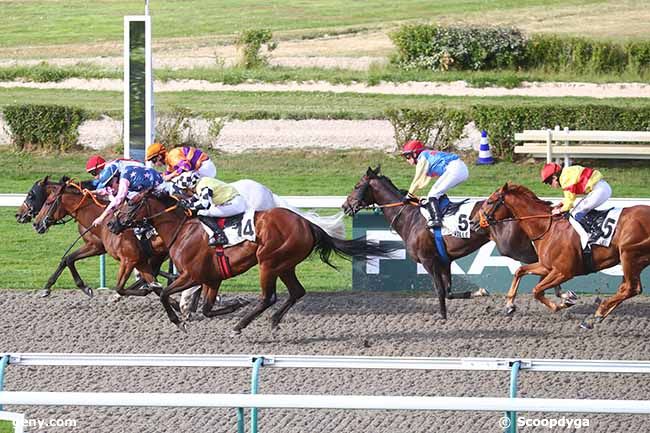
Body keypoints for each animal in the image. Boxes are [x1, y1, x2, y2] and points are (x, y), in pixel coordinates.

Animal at [32, 178, 167, 296]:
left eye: (47, 203)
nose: (36, 224)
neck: (104, 221)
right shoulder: (94, 246)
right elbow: (68, 259)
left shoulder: (112, 252)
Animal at [109, 191, 392, 332]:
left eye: (131, 204)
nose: (112, 224)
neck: (182, 229)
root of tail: (307, 224)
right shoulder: (212, 278)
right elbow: (207, 308)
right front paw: (232, 304)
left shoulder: (192, 275)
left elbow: (165, 294)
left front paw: (178, 321)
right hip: (285, 264)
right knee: (296, 292)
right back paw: (273, 321)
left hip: (268, 261)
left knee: (268, 297)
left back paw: (241, 324)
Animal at [340, 167, 572, 318]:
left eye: (357, 186)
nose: (345, 206)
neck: (410, 217)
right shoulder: (445, 261)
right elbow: (450, 292)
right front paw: (480, 292)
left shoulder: (429, 261)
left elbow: (440, 291)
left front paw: (442, 316)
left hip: (512, 247)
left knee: (542, 264)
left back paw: (561, 294)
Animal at [476, 182, 648, 328]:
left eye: (490, 201)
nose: (475, 222)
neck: (547, 227)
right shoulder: (546, 266)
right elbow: (520, 271)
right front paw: (509, 305)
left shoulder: (563, 272)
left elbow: (537, 290)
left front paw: (564, 303)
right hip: (634, 259)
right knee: (627, 288)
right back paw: (597, 317)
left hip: (629, 256)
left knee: (631, 288)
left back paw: (598, 312)